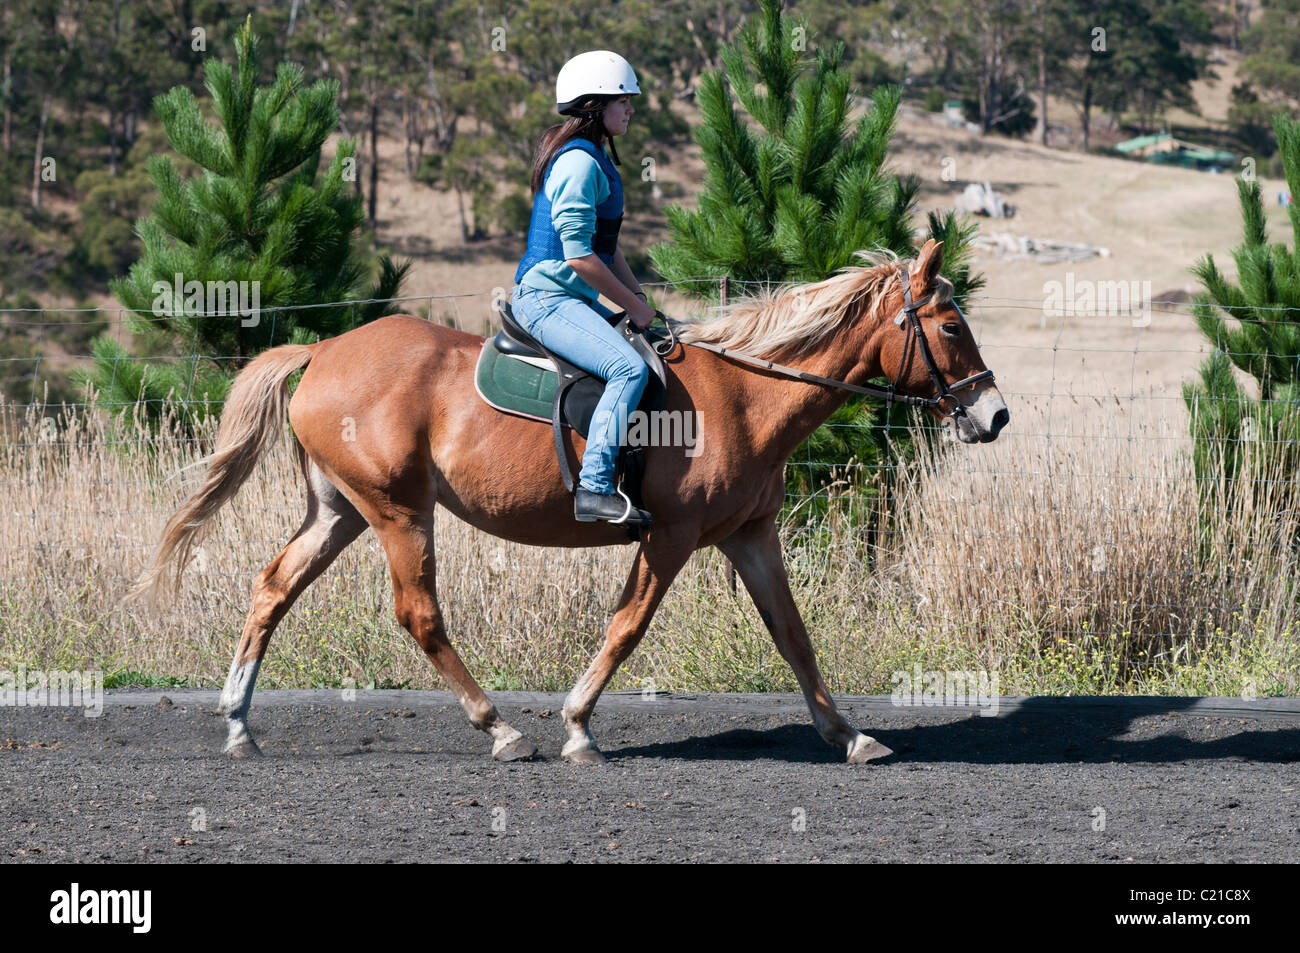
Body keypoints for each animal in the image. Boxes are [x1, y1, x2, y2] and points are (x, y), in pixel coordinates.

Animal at [132, 239, 1008, 764]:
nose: (993, 415)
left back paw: (239, 723)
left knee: (273, 587)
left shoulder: (750, 534)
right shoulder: (670, 537)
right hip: (399, 513)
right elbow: (626, 628)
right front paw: (579, 725)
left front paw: (850, 734)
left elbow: (794, 636)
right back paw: (500, 728)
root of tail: (321, 350)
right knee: (419, 613)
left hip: (342, 511)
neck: (745, 394)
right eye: (949, 325)